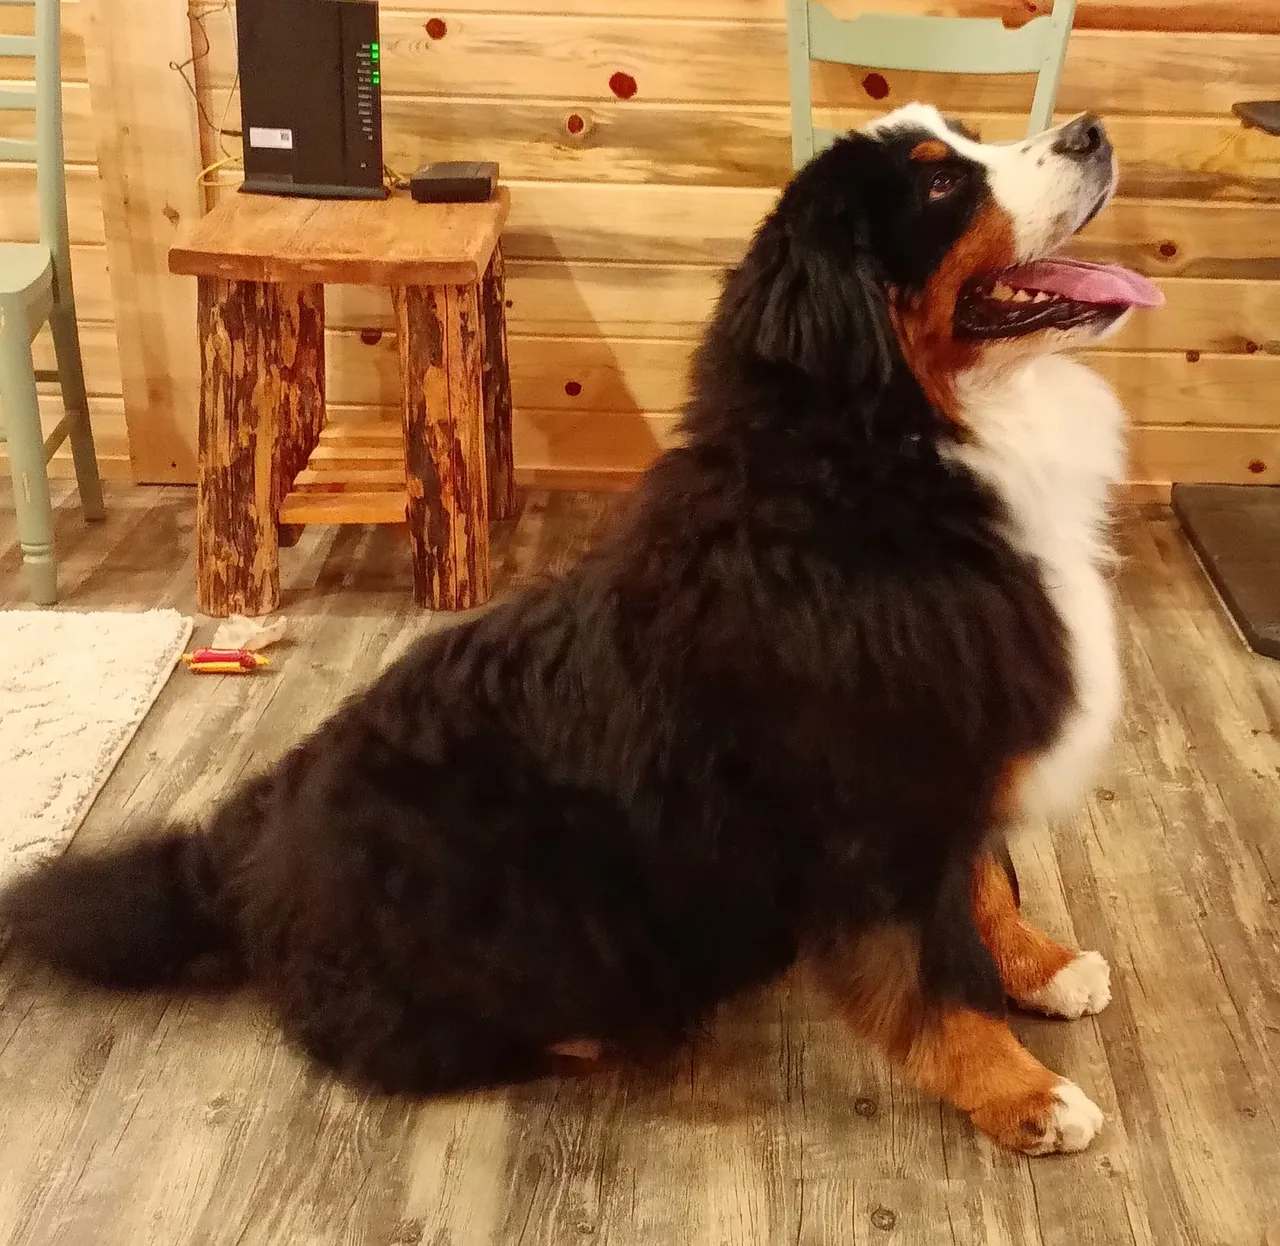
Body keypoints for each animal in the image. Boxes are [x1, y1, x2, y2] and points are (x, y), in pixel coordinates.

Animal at [0, 104, 1162, 1157]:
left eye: (961, 141)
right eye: (940, 182)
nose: (1091, 131)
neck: (887, 462)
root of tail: (242, 846)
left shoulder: (955, 754)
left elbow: (986, 882)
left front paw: (1042, 965)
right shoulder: (878, 801)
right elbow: (932, 970)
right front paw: (1020, 1092)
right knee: (380, 1037)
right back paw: (605, 1033)